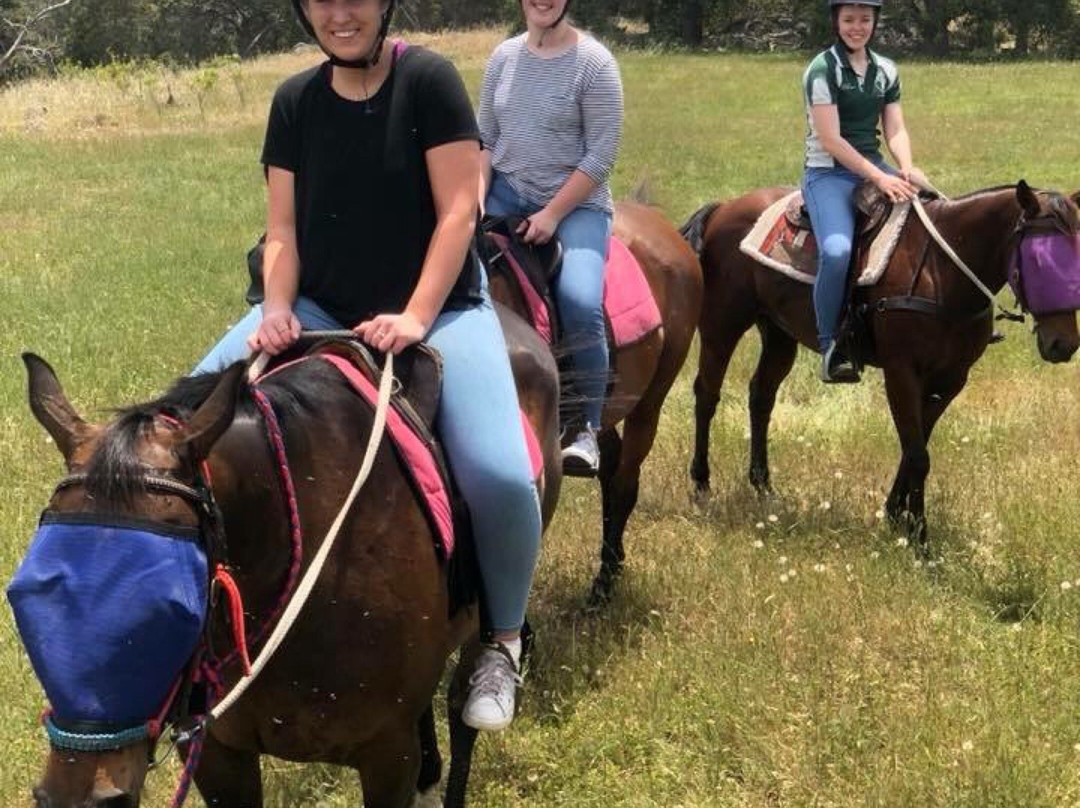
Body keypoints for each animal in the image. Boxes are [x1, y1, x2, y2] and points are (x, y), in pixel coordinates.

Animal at [682, 182, 1080, 546]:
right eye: (1040, 260)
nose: (1064, 345)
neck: (941, 271)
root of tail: (723, 208)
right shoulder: (901, 372)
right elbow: (918, 455)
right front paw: (919, 539)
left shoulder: (951, 379)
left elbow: (916, 447)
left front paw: (894, 516)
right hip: (722, 325)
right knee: (707, 395)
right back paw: (702, 484)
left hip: (779, 335)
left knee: (761, 396)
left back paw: (764, 489)